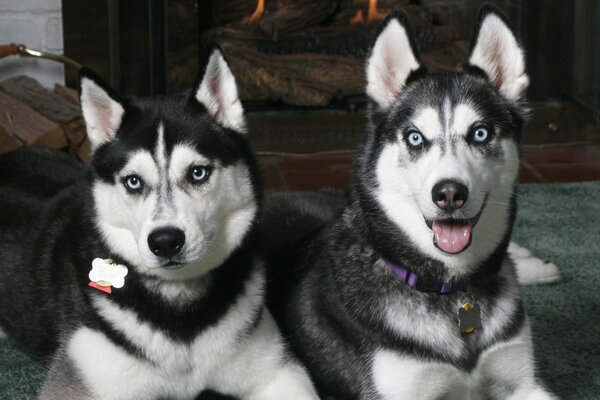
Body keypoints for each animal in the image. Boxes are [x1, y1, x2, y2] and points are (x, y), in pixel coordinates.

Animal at [0, 44, 318, 400]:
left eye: (198, 172)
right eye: (133, 181)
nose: (165, 241)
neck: (178, 307)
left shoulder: (277, 370)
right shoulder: (78, 385)